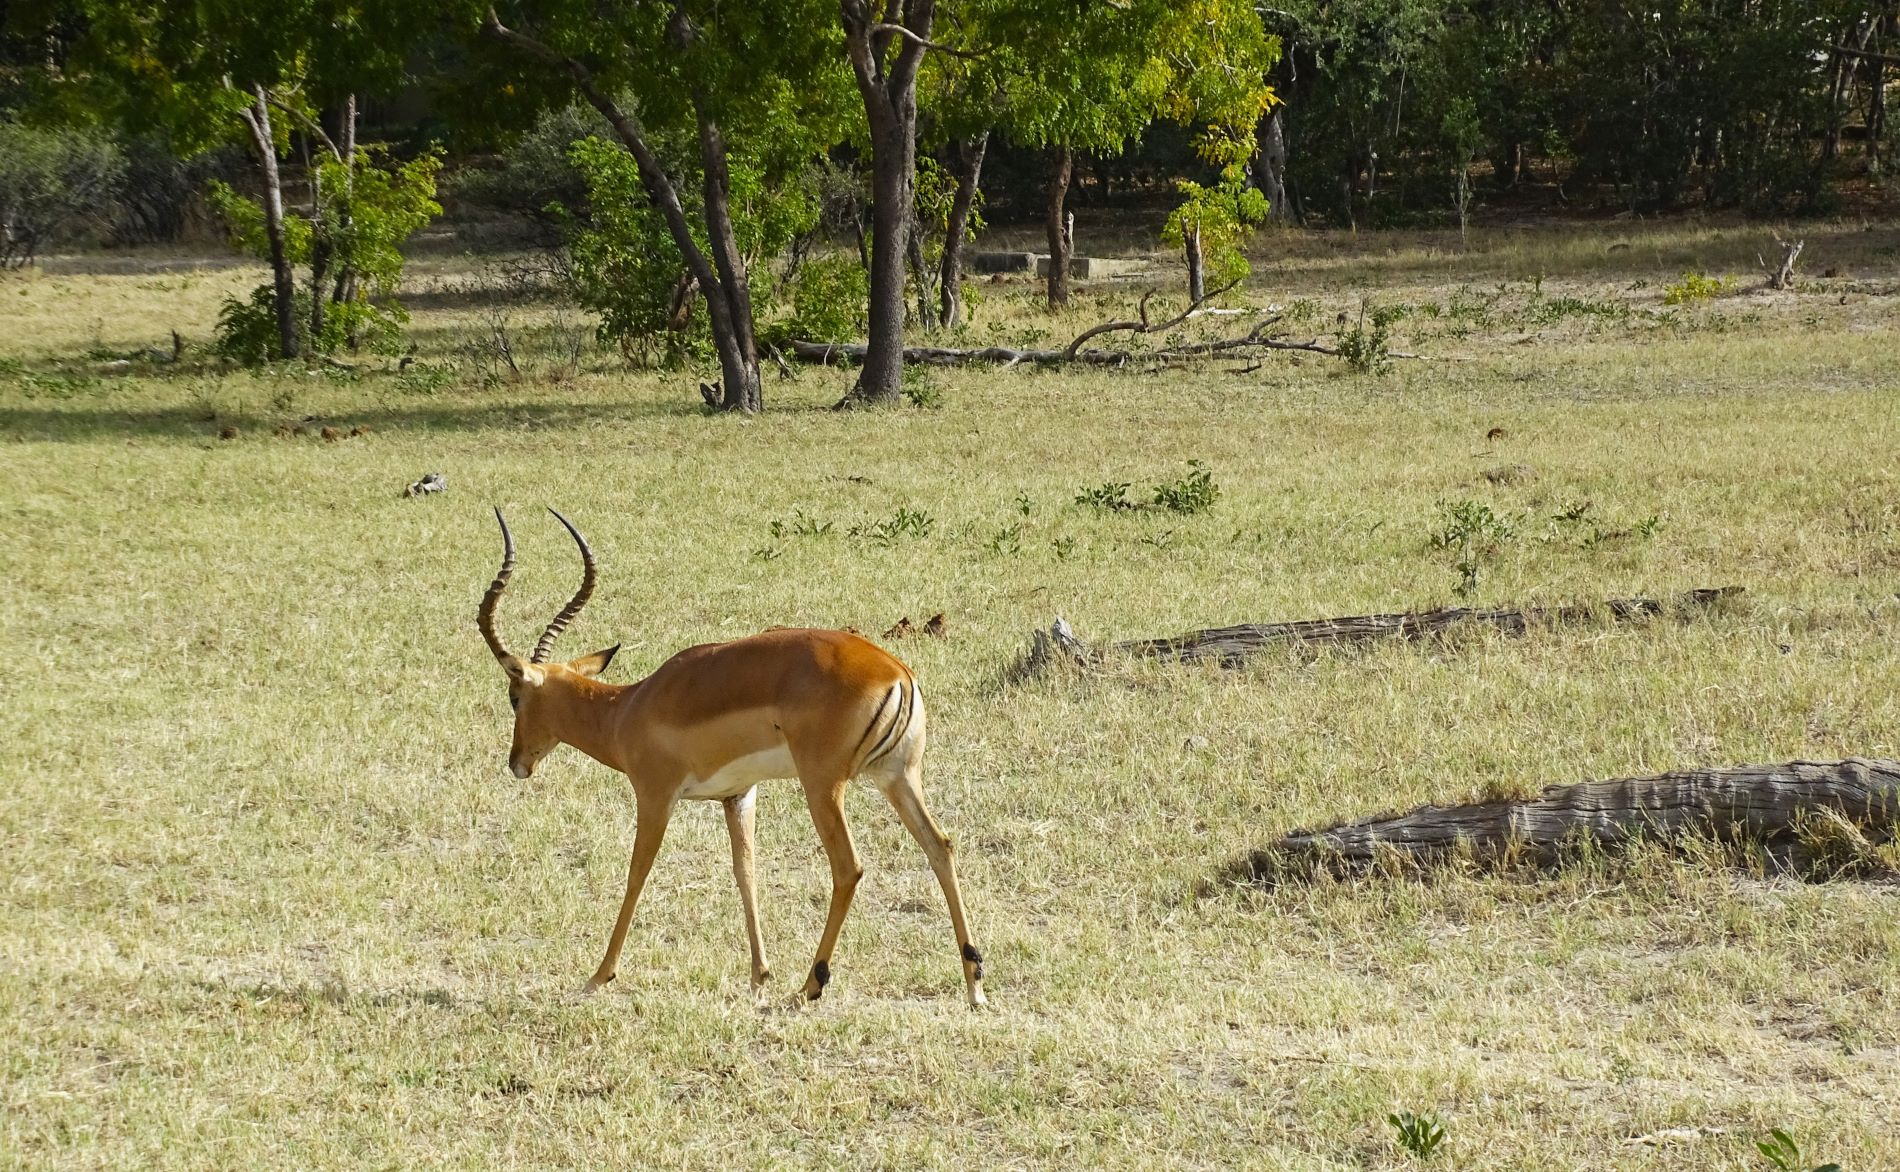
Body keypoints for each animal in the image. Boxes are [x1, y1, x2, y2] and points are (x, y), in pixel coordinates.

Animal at [475, 505, 988, 1002]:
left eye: (514, 696)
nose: (517, 763)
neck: (628, 710)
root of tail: (898, 673)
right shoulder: (738, 795)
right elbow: (746, 872)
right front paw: (759, 975)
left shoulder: (655, 796)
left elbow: (637, 874)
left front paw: (600, 975)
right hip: (898, 777)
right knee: (940, 846)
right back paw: (974, 984)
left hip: (823, 785)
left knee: (849, 867)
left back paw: (811, 985)